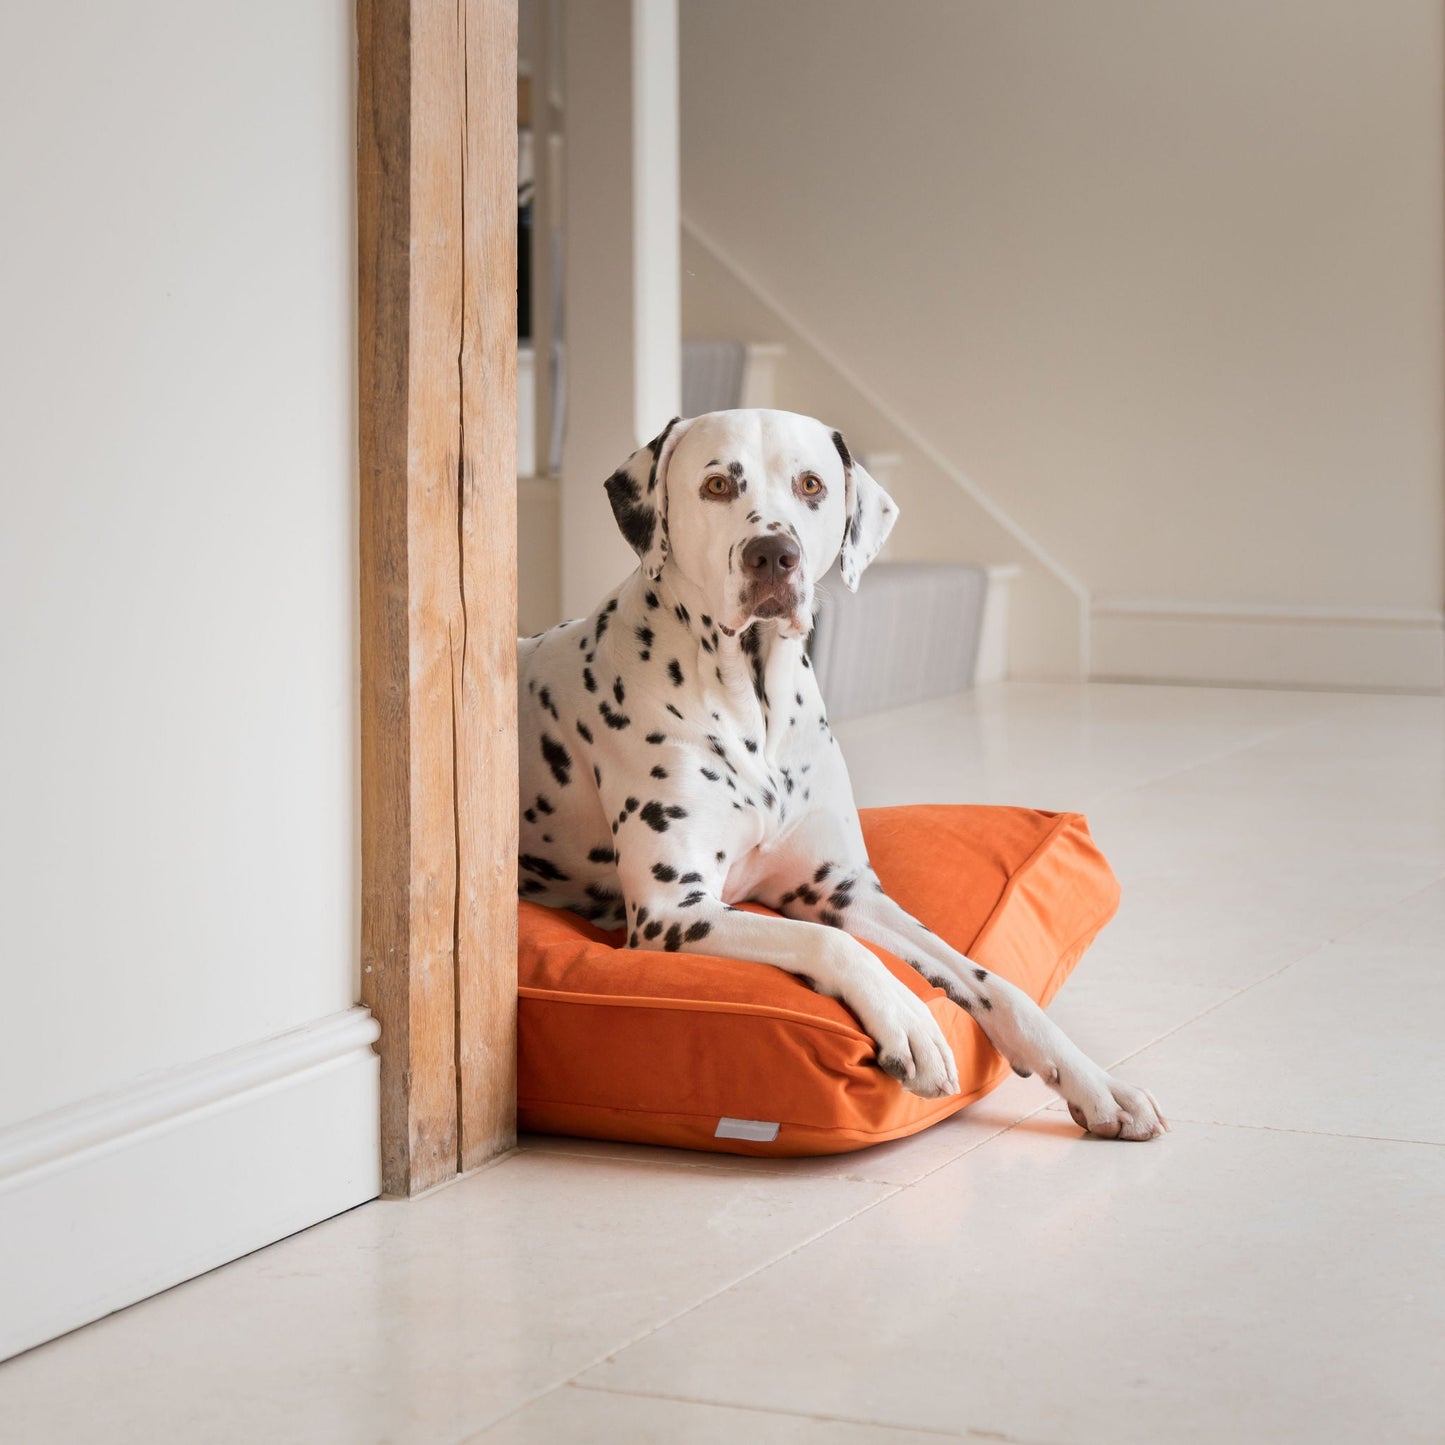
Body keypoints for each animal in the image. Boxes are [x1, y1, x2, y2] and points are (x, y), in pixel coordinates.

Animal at [514, 407, 1167, 1138]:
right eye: (716, 485)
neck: (752, 700)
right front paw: (910, 1024)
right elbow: (831, 946)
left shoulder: (844, 892)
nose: (774, 554)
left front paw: (1095, 1083)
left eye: (811, 485)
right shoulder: (672, 913)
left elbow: (987, 978)